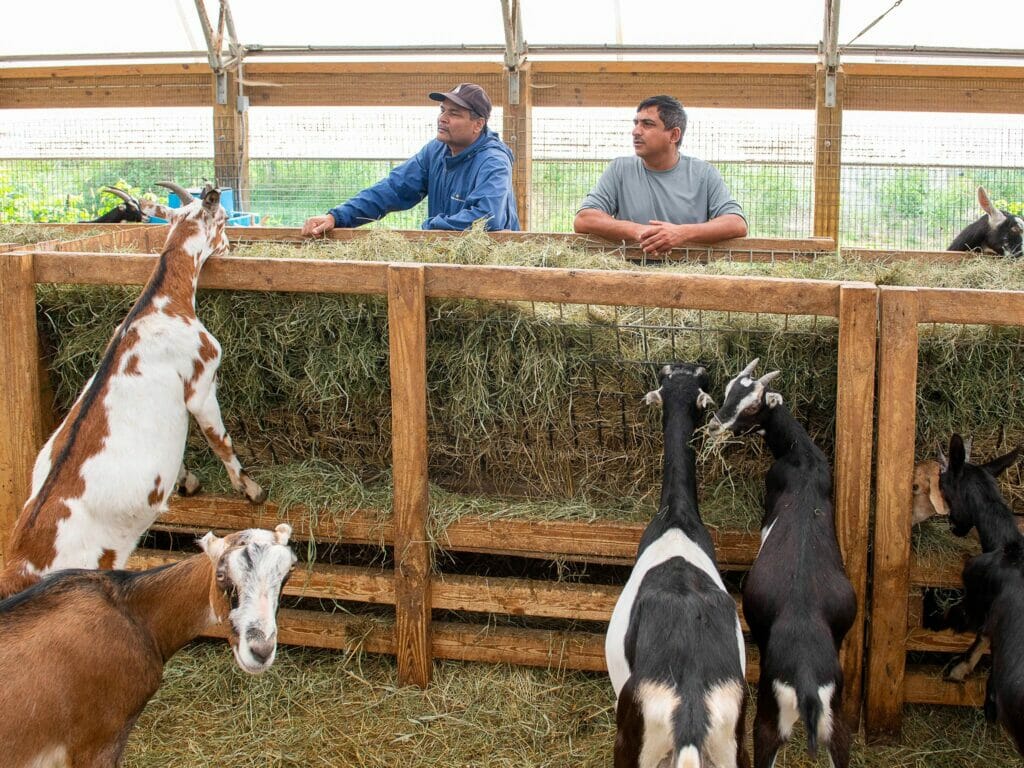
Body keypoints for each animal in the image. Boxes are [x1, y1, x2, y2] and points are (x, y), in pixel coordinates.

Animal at [1, 183, 264, 598]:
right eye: (222, 220)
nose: (230, 245)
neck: (160, 306)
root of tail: (18, 568)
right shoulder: (201, 384)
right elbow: (220, 440)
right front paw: (251, 490)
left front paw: (188, 481)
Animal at [708, 360, 860, 768]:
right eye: (728, 389)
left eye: (752, 406)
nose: (715, 424)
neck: (801, 458)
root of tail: (806, 681)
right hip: (836, 722)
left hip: (768, 717)